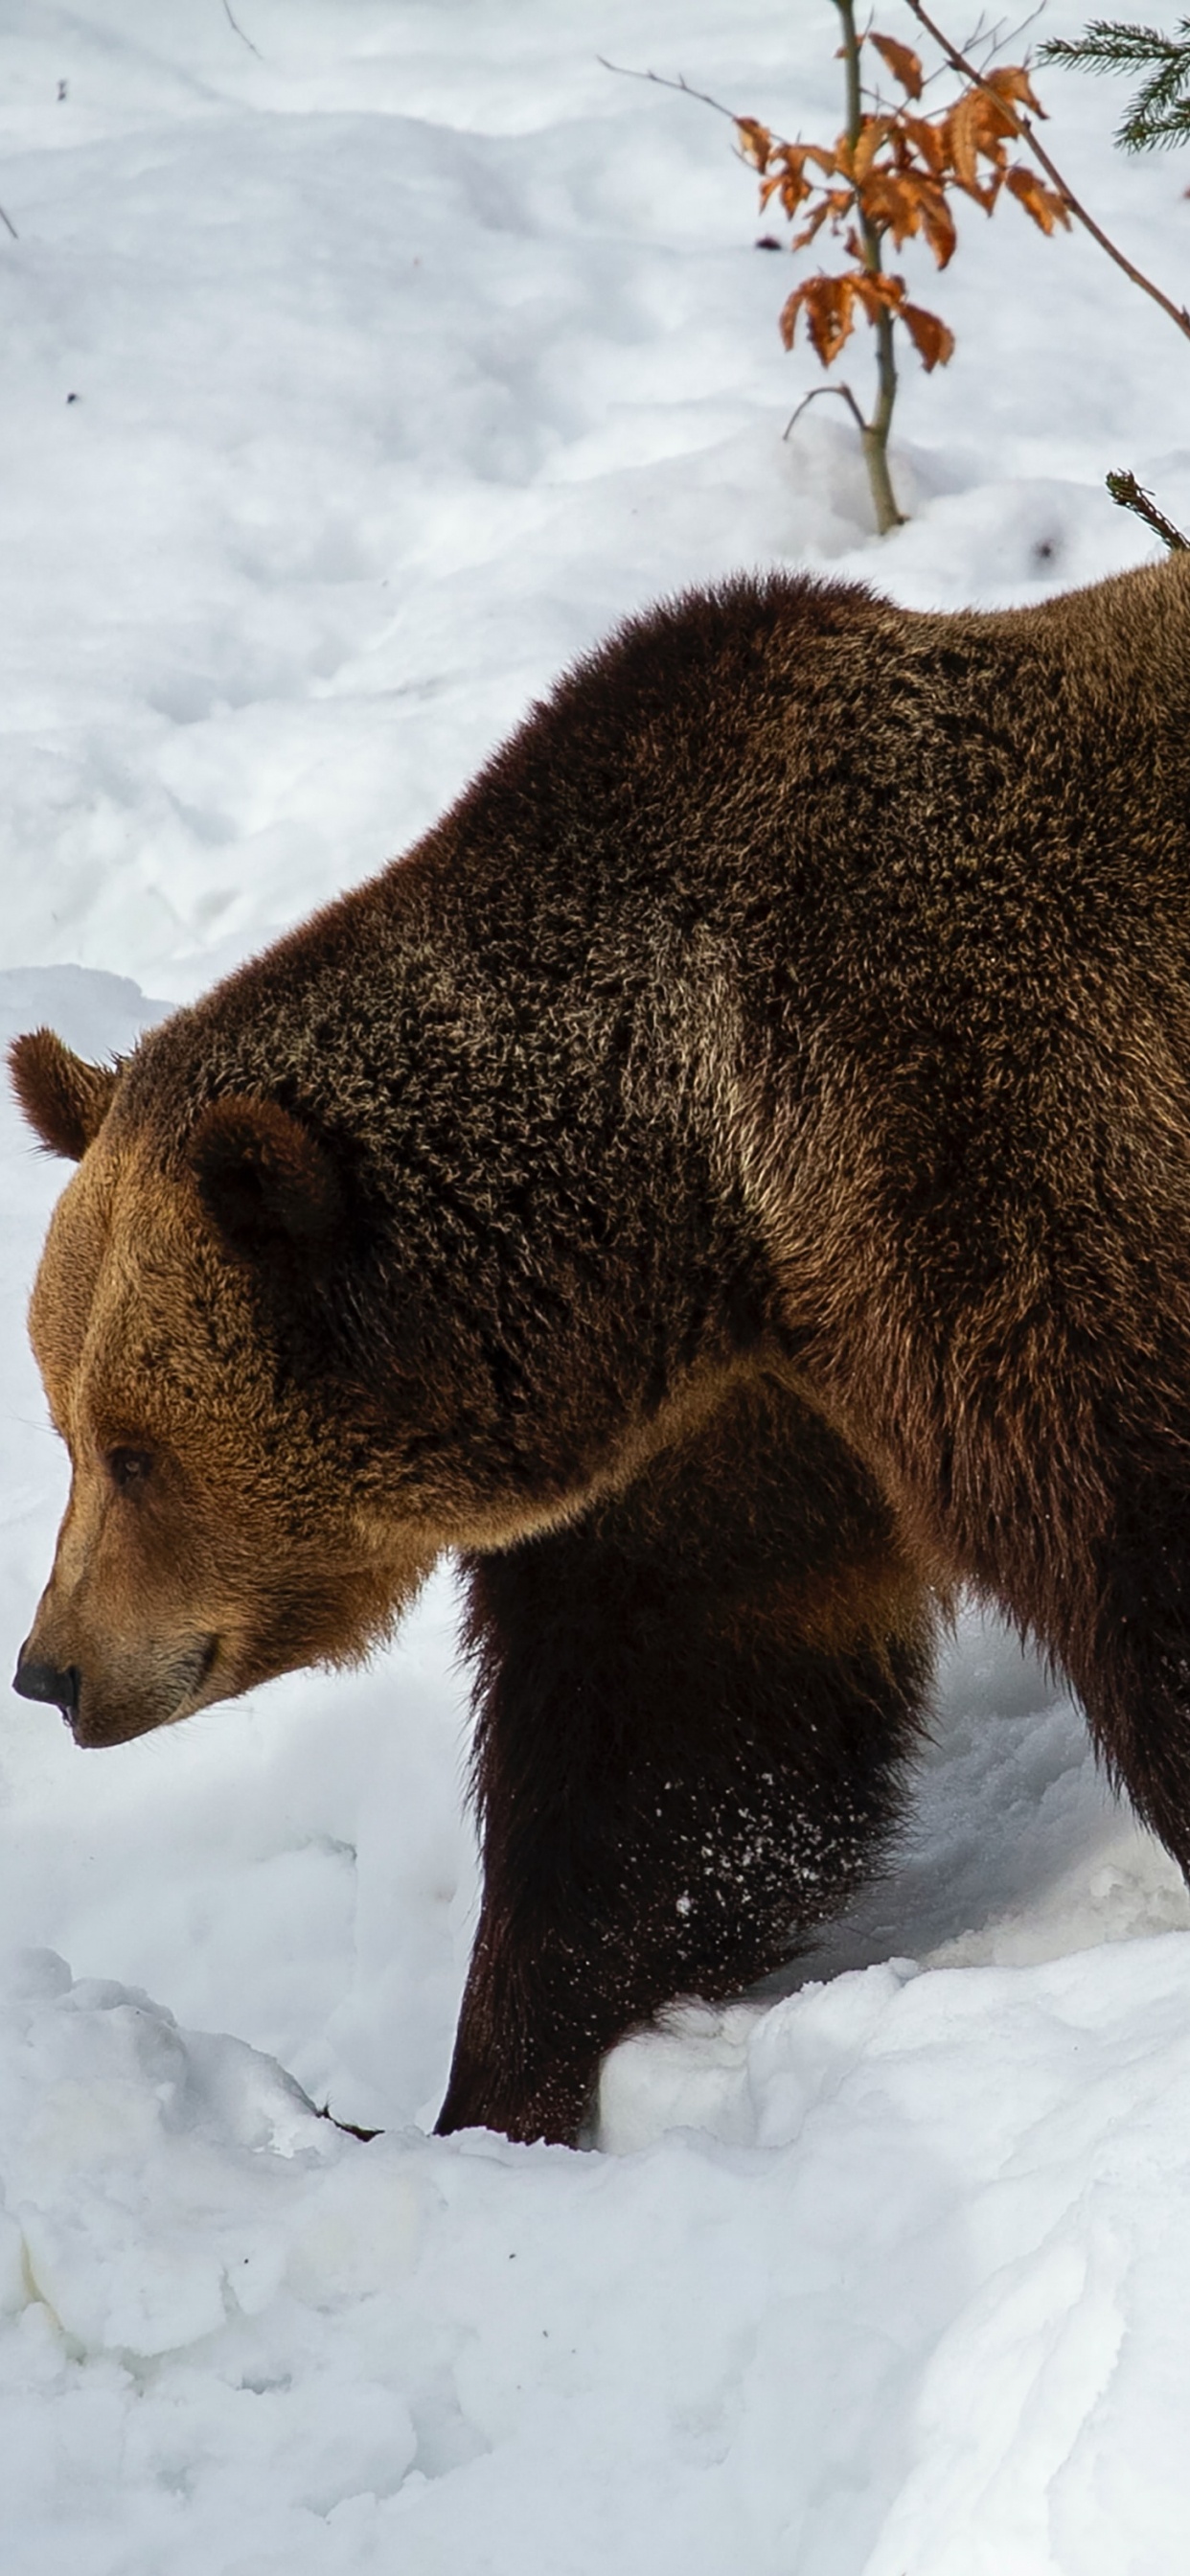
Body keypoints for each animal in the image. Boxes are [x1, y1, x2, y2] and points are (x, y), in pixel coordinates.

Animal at [10, 553, 1190, 2145]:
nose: (50, 1667)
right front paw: (482, 2089)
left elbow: (1131, 1520)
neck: (701, 1179)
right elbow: (680, 1733)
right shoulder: (734, 1413)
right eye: (66, 1427)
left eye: (138, 1452)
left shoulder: (987, 1154)